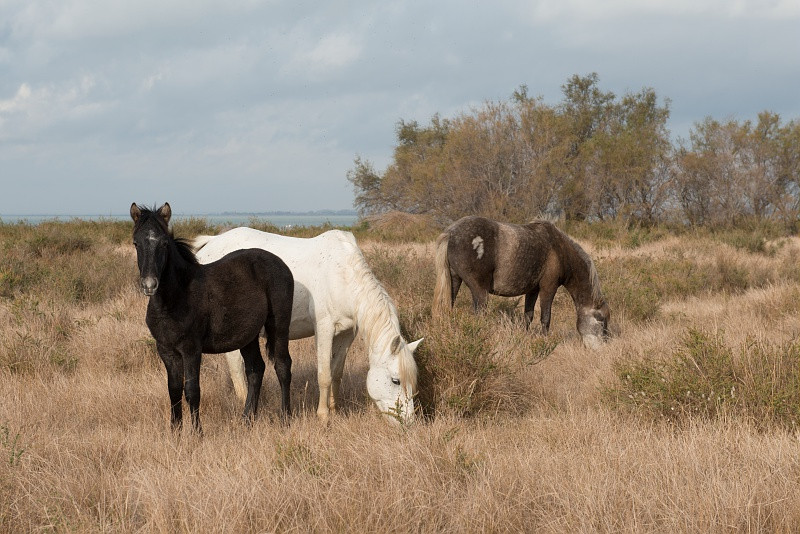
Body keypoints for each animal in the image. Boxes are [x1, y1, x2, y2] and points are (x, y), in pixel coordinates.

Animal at [130, 203, 294, 432]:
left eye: (163, 243)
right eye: (136, 243)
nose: (149, 285)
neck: (172, 300)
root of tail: (280, 263)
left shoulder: (191, 349)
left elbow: (192, 390)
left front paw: (197, 433)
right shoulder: (166, 350)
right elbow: (173, 390)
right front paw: (175, 431)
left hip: (278, 325)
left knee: (282, 366)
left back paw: (285, 418)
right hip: (248, 335)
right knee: (255, 369)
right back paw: (246, 420)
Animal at [192, 227, 422, 424]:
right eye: (395, 380)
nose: (408, 422)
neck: (342, 275)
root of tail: (210, 243)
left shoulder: (347, 334)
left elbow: (336, 372)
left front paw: (335, 409)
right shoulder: (324, 329)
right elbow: (324, 374)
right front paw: (323, 415)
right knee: (236, 368)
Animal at [433, 216, 610, 349]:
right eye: (601, 320)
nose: (605, 346)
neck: (559, 250)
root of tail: (450, 233)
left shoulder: (533, 290)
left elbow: (528, 316)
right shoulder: (548, 288)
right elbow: (545, 317)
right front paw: (544, 341)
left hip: (455, 281)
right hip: (479, 290)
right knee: (479, 315)